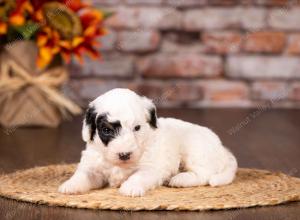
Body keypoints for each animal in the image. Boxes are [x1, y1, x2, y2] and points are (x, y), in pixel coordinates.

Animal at [58, 87, 237, 196]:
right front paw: (70, 185)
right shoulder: (93, 165)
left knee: (204, 174)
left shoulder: (151, 168)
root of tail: (222, 149)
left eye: (137, 128)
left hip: (195, 151)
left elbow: (139, 176)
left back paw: (180, 179)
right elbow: (83, 174)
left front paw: (130, 187)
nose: (124, 154)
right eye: (107, 130)